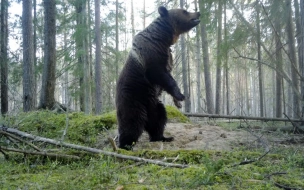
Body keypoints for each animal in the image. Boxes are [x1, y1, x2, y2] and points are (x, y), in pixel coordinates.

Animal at [115, 6, 201, 150]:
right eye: (185, 11)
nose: (198, 12)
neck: (162, 38)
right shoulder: (151, 55)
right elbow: (162, 75)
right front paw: (181, 96)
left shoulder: (166, 55)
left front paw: (178, 101)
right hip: (133, 97)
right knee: (132, 121)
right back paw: (125, 144)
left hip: (153, 103)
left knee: (158, 119)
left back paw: (162, 137)